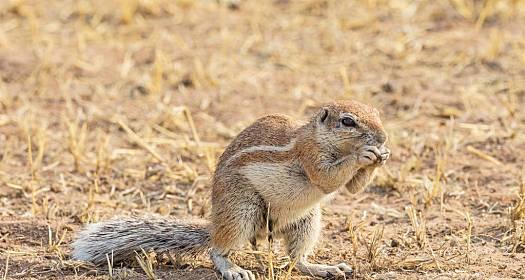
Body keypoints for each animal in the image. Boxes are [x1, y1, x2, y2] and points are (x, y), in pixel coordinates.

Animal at [70, 99, 388, 278]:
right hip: (241, 211)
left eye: (378, 113)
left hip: (306, 221)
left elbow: (352, 189)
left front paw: (381, 157)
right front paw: (364, 155)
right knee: (217, 250)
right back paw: (233, 269)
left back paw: (324, 268)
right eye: (347, 121)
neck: (323, 138)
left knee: (296, 259)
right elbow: (326, 178)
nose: (383, 137)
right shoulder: (309, 153)